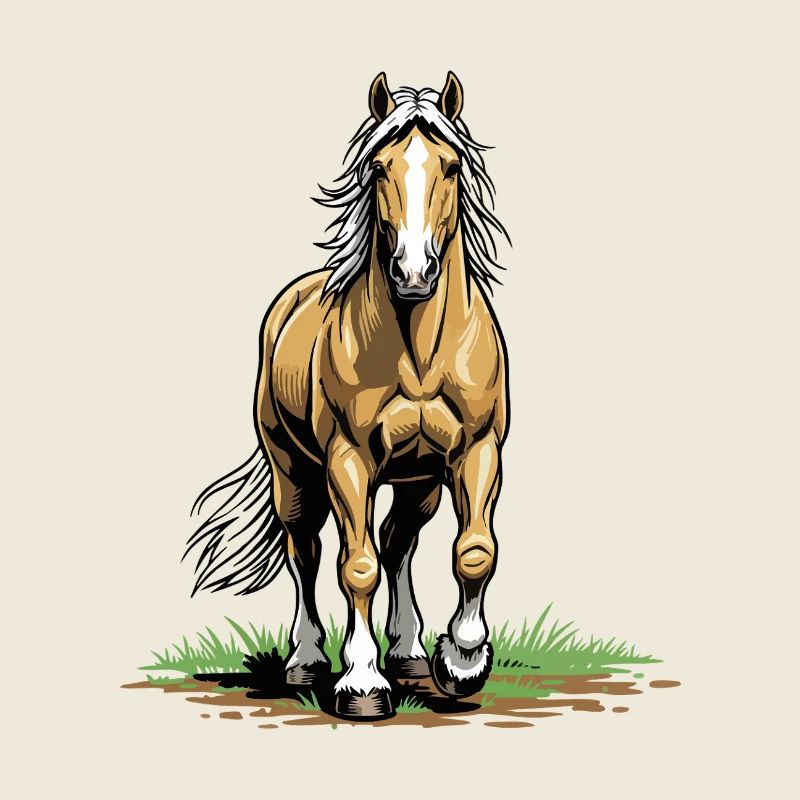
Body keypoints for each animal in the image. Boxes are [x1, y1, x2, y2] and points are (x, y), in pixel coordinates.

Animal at [185, 72, 510, 720]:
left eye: (452, 165)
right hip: (294, 471)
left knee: (399, 542)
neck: (420, 351)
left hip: (417, 480)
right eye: (378, 168)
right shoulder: (348, 461)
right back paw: (308, 659)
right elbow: (355, 567)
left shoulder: (477, 452)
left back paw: (408, 653)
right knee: (307, 551)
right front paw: (361, 683)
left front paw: (461, 660)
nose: (414, 272)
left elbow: (473, 551)